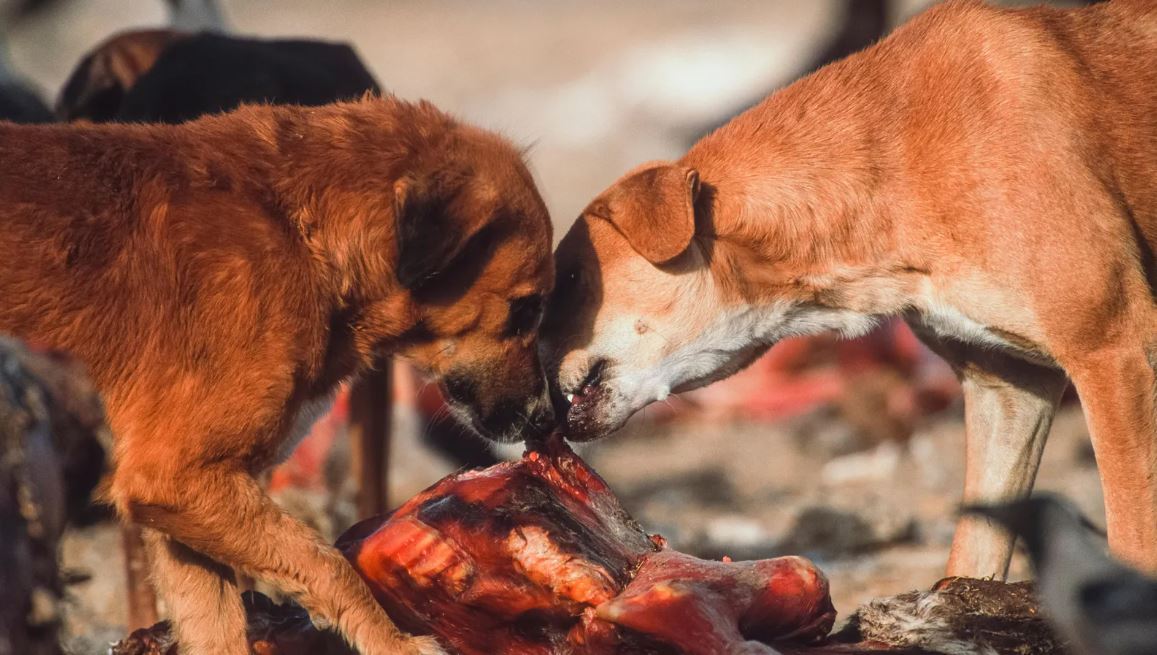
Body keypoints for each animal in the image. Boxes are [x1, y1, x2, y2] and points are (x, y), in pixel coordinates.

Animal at [0, 97, 555, 655]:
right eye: (527, 309)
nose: (547, 421)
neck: (303, 235)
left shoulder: (179, 510)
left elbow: (220, 630)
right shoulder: (175, 478)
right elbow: (328, 562)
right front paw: (393, 642)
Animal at [543, 1, 1157, 585]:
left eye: (569, 280)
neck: (898, 162)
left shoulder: (1114, 355)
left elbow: (1133, 538)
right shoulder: (1008, 389)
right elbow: (974, 552)